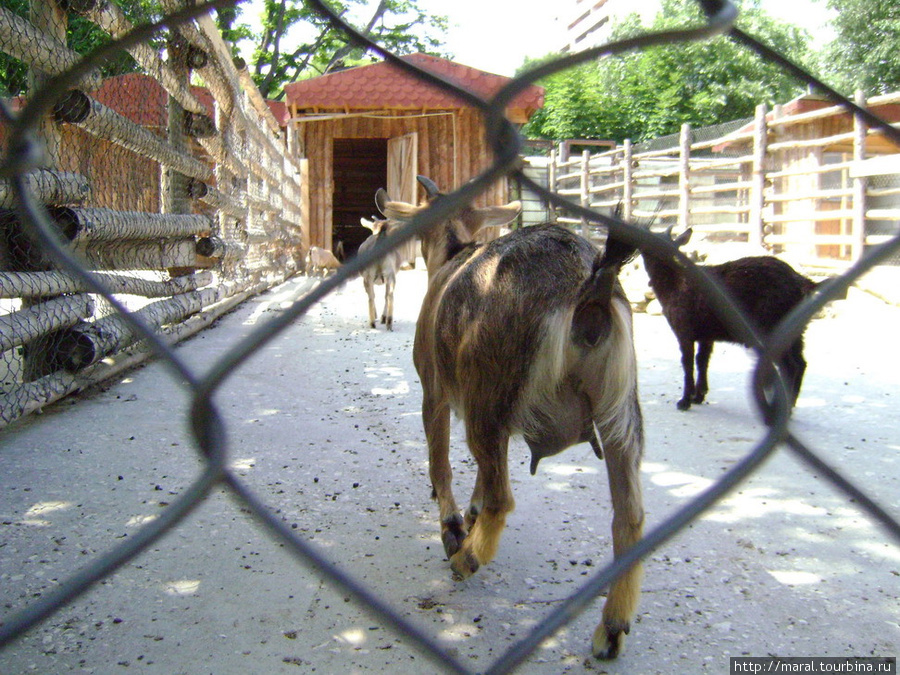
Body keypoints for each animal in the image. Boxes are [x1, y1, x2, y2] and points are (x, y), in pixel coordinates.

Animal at [380, 174, 648, 660]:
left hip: (487, 398)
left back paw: (465, 559)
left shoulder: (436, 390)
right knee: (629, 513)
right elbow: (480, 479)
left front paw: (453, 528)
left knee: (502, 496)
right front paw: (469, 516)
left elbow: (440, 463)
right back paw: (612, 628)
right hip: (619, 409)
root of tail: (589, 288)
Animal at [644, 228, 820, 412]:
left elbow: (688, 364)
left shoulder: (684, 331)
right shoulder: (706, 335)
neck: (673, 284)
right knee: (800, 363)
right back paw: (791, 403)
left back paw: (786, 406)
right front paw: (699, 396)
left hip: (773, 326)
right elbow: (702, 361)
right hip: (797, 329)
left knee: (789, 365)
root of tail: (803, 283)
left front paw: (685, 401)